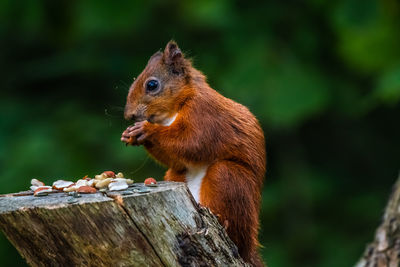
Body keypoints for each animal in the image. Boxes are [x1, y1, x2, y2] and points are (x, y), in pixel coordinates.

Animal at [122, 41, 266, 266]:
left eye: (152, 85)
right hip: (175, 176)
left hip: (229, 177)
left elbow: (193, 143)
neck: (173, 111)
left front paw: (146, 130)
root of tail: (249, 248)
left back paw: (224, 223)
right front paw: (130, 134)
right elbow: (176, 157)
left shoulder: (205, 114)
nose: (129, 115)